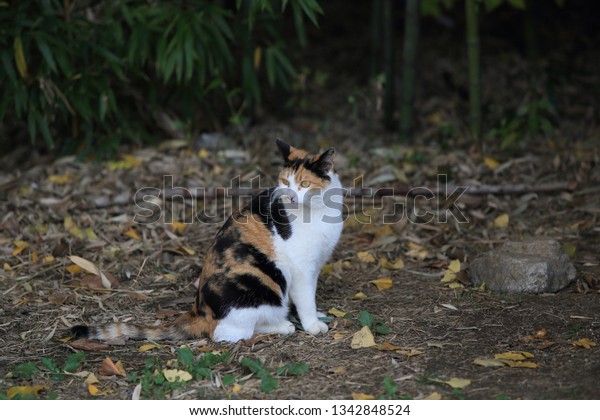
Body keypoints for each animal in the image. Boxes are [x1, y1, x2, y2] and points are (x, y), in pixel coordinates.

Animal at [71, 139, 344, 342]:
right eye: (286, 182)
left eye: (304, 183)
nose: (289, 197)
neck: (318, 211)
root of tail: (199, 311)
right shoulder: (300, 267)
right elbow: (305, 297)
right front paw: (312, 325)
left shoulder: (316, 263)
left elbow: (309, 295)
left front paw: (316, 315)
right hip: (257, 285)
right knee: (229, 332)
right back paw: (282, 325)